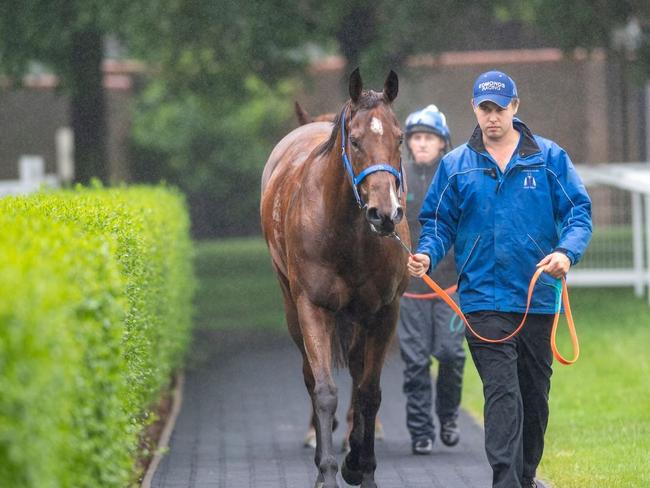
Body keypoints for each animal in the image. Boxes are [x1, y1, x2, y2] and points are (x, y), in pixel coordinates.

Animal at [260, 69, 408, 488]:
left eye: (399, 137)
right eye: (355, 140)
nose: (385, 213)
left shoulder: (384, 312)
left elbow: (369, 391)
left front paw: (363, 467)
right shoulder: (313, 306)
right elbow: (325, 389)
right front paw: (327, 473)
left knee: (358, 374)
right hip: (292, 306)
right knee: (312, 377)